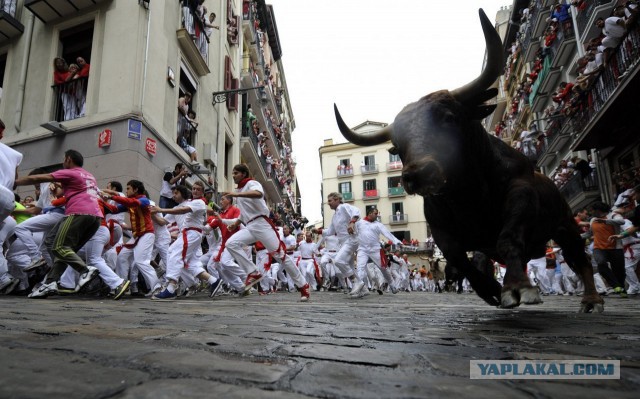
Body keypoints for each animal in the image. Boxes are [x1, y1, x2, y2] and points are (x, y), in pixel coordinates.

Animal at [338, 7, 604, 310]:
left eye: (449, 117)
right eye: (396, 144)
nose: (417, 174)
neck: (467, 194)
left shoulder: (521, 195)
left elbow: (508, 238)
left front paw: (517, 287)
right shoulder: (441, 228)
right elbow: (460, 260)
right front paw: (491, 289)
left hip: (565, 224)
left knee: (579, 258)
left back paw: (591, 299)